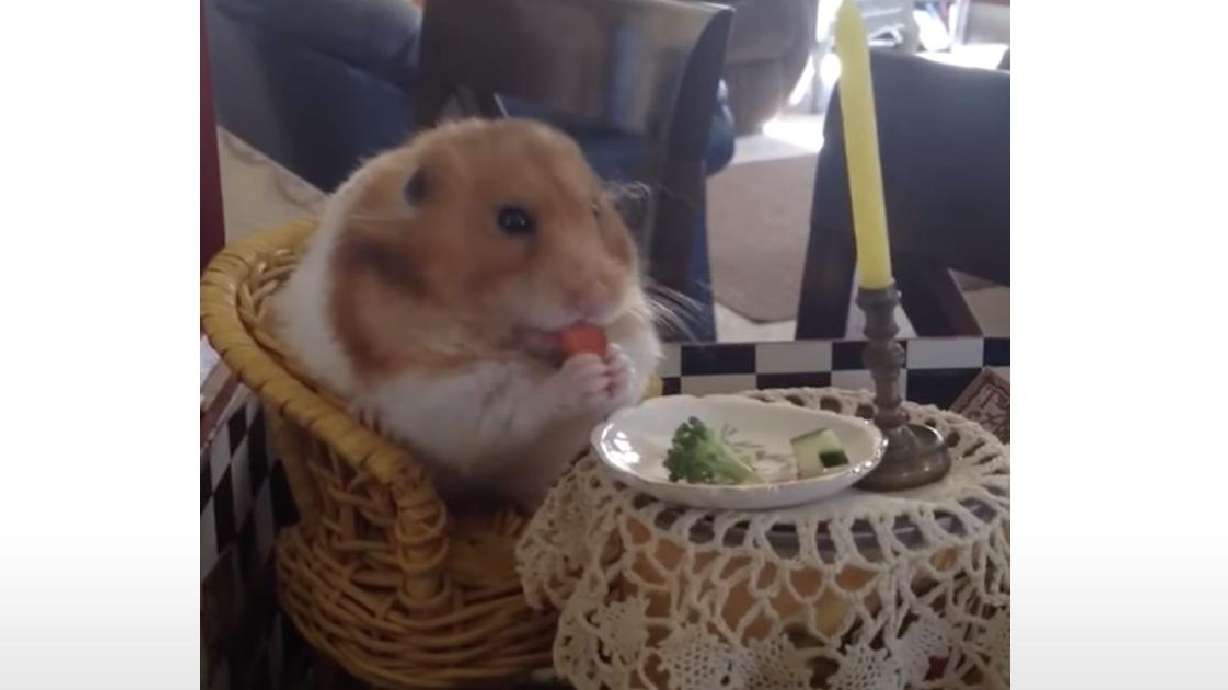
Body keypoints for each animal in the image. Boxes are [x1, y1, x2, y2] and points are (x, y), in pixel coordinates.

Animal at [272, 118, 662, 510]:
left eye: (596, 212)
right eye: (512, 220)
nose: (601, 299)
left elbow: (630, 372)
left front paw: (618, 363)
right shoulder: (436, 391)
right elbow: (516, 400)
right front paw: (585, 374)